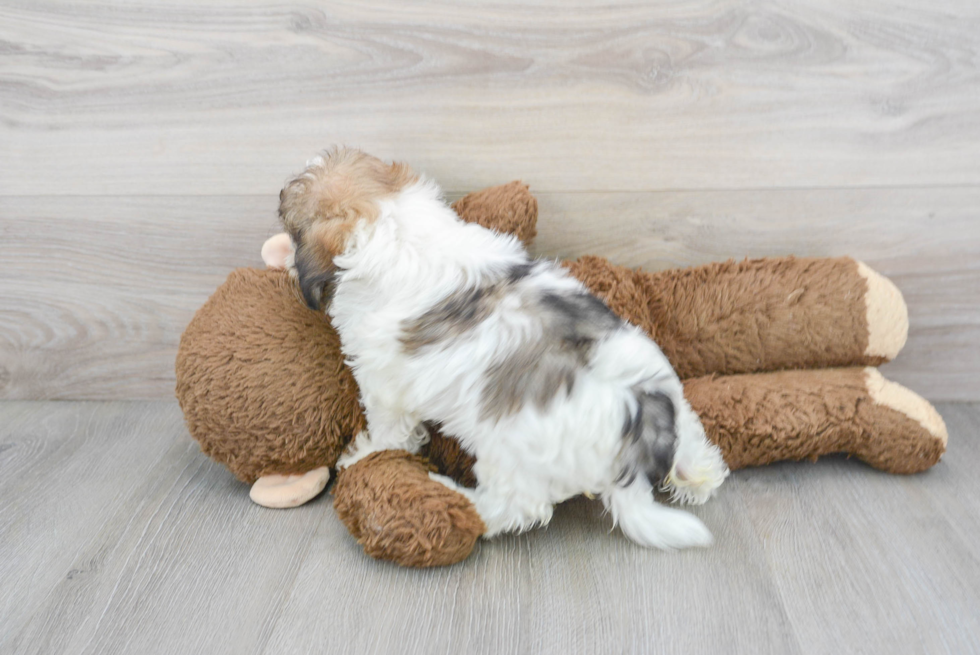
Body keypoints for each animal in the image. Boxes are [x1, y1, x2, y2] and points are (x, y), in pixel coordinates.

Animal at [276, 147, 728, 548]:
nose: (278, 193)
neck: (395, 220)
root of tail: (635, 432)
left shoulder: (383, 381)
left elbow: (389, 429)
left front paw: (363, 454)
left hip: (509, 458)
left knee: (514, 508)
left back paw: (459, 497)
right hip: (672, 401)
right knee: (697, 446)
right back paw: (698, 475)